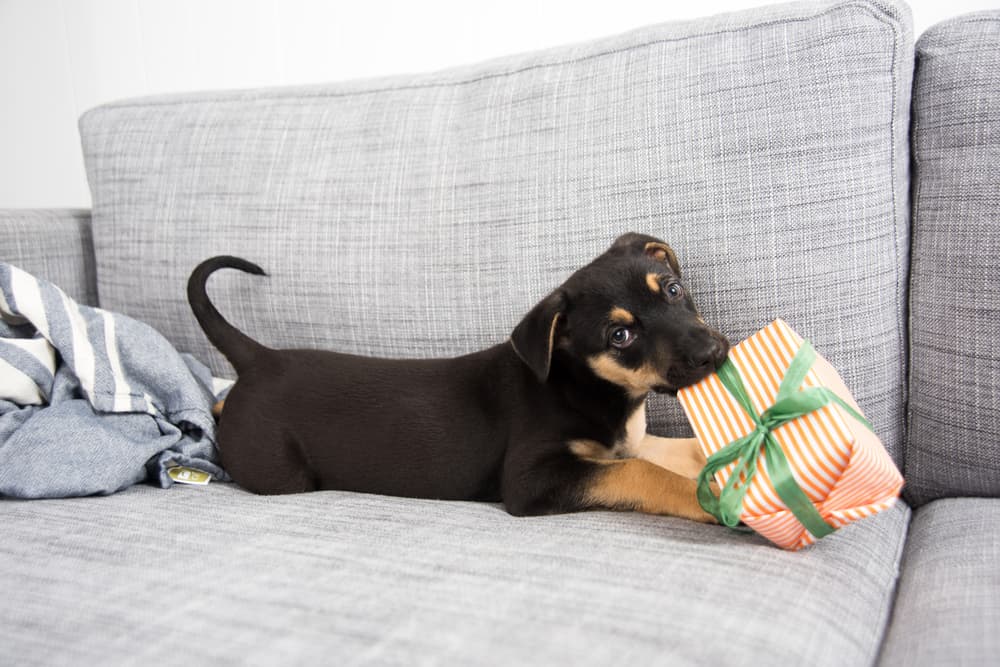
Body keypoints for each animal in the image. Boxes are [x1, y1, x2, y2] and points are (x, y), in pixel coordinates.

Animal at [189, 235, 728, 520]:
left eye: (673, 289)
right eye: (620, 335)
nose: (713, 354)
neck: (589, 386)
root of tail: (261, 359)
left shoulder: (627, 442)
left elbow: (673, 451)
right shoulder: (531, 479)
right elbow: (643, 472)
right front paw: (708, 497)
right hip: (282, 472)